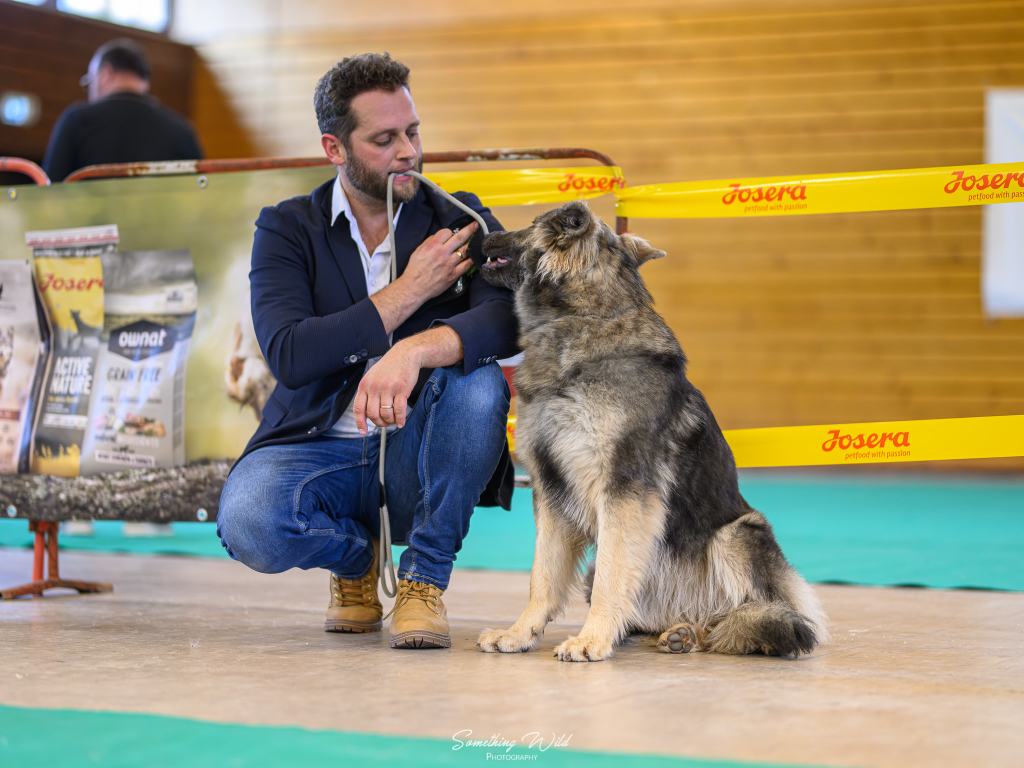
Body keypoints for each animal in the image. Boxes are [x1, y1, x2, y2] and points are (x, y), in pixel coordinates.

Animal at [475, 201, 827, 662]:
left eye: (530, 225)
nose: (483, 235)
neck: (584, 320)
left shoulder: (624, 490)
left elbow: (611, 575)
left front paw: (591, 640)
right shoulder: (551, 489)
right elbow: (543, 577)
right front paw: (519, 634)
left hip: (739, 533)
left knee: (757, 613)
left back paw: (713, 631)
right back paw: (681, 633)